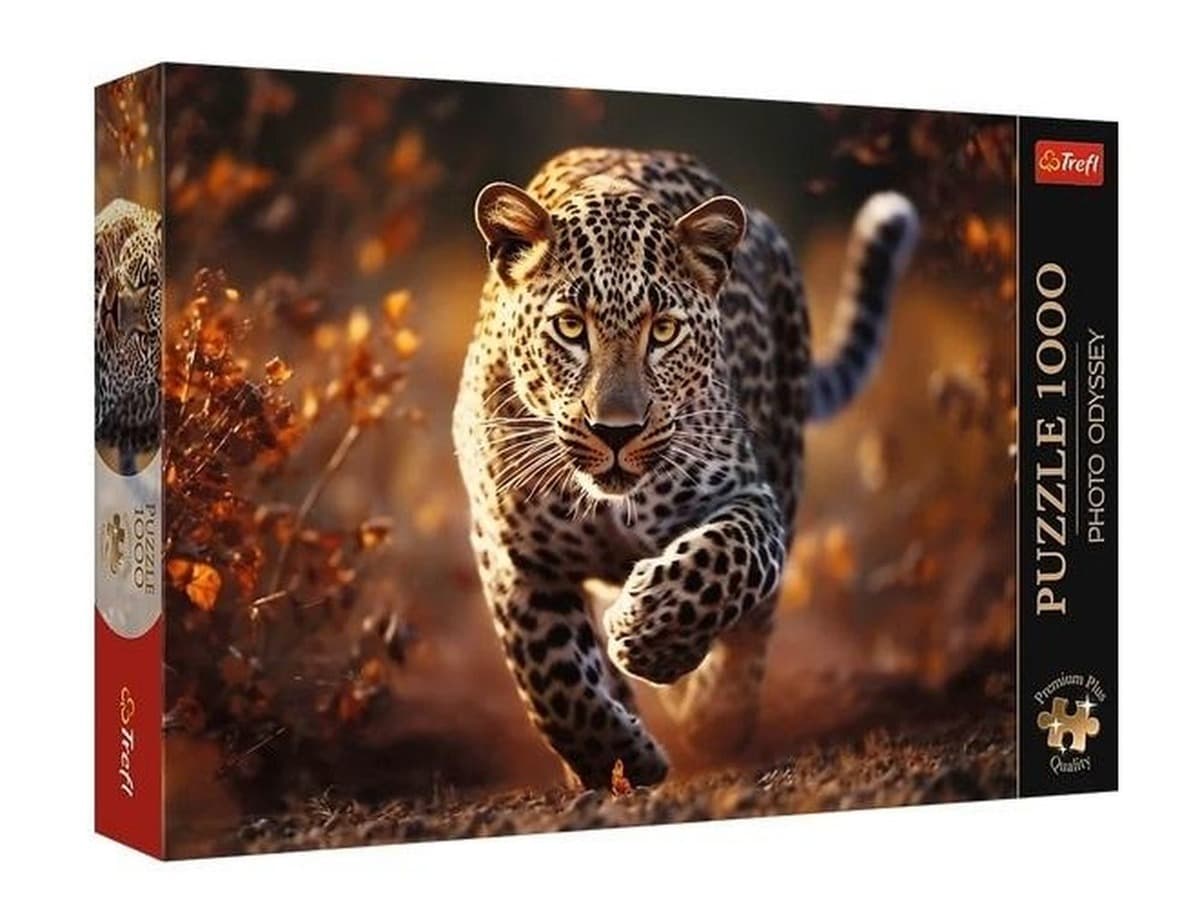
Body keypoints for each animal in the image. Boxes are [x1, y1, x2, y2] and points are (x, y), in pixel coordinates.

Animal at [453, 148, 917, 789]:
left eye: (664, 331)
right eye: (570, 327)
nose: (616, 431)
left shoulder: (749, 496)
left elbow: (724, 561)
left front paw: (649, 636)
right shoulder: (510, 551)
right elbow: (552, 676)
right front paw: (616, 760)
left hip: (786, 459)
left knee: (755, 626)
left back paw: (716, 715)